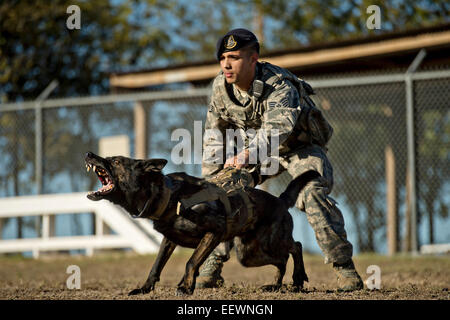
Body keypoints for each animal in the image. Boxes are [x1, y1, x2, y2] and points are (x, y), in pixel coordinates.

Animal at [84, 152, 316, 296]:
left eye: (115, 161)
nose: (88, 154)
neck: (168, 195)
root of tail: (280, 200)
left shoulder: (214, 232)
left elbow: (191, 262)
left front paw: (186, 288)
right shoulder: (169, 240)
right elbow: (156, 265)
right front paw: (145, 289)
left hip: (268, 243)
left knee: (295, 247)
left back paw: (297, 279)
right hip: (249, 254)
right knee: (282, 260)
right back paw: (275, 286)